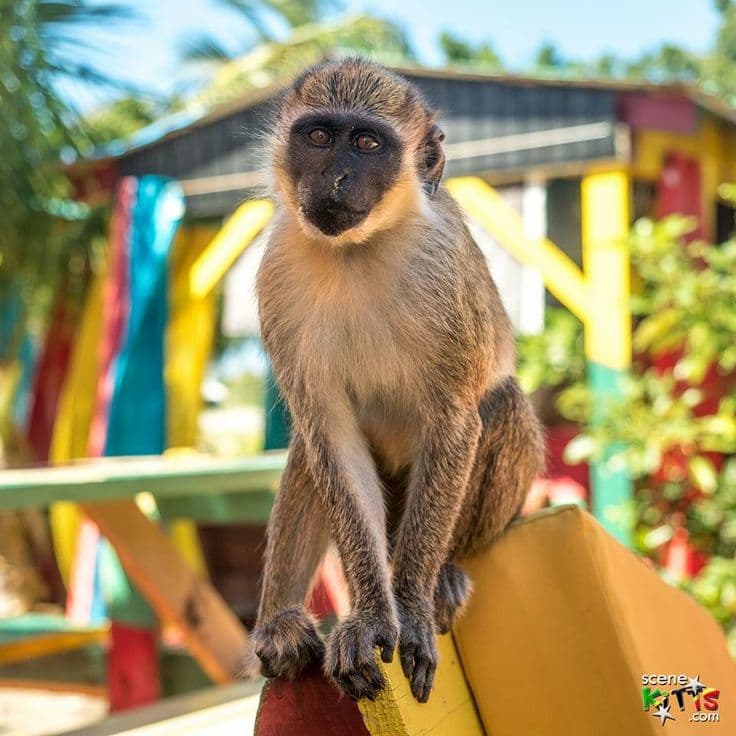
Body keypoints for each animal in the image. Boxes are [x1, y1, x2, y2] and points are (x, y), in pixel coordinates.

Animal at [246, 57, 544, 704]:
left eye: (366, 144)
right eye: (318, 136)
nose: (333, 177)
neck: (356, 251)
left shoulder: (443, 271)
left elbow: (456, 422)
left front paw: (407, 608)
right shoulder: (278, 271)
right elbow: (329, 437)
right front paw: (371, 615)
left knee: (502, 402)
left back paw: (447, 573)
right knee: (309, 450)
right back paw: (279, 628)